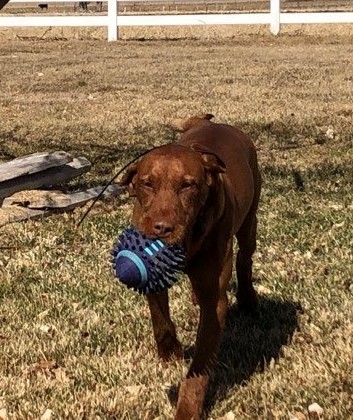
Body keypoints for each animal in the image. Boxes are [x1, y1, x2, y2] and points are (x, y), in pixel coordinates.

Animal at [121, 113, 262, 418]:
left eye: (188, 185)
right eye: (147, 183)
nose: (162, 228)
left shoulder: (215, 300)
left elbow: (199, 367)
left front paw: (187, 407)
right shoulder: (152, 274)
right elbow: (159, 317)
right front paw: (169, 351)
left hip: (249, 221)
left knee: (245, 259)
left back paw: (247, 299)